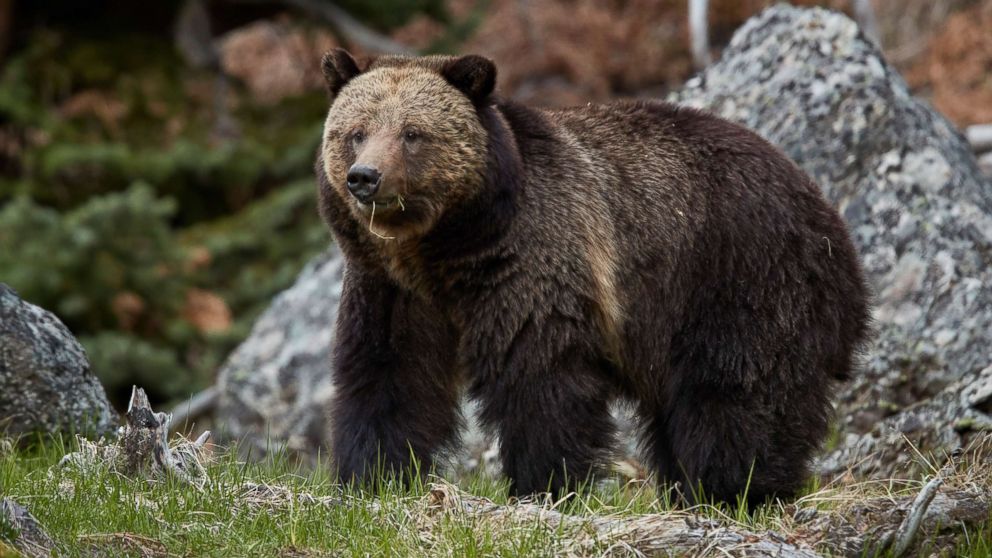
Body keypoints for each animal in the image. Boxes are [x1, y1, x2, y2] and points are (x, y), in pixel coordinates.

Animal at [316, 49, 868, 508]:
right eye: (355, 131)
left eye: (413, 133)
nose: (365, 177)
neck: (445, 248)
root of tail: (828, 213)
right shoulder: (390, 287)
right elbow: (390, 374)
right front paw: (370, 478)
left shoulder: (534, 256)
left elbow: (539, 375)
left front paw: (542, 486)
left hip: (740, 276)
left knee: (738, 393)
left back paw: (735, 490)